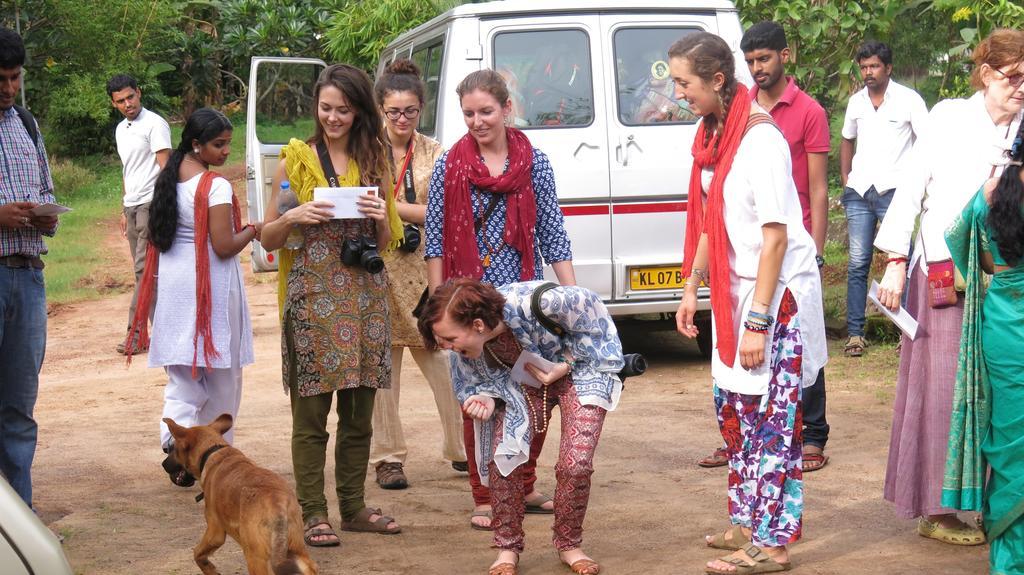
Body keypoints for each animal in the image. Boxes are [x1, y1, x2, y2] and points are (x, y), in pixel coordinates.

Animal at [164, 411, 315, 572]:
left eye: (173, 448)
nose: (163, 464)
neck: (214, 451)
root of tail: (277, 502)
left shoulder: (214, 531)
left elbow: (197, 553)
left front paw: (209, 569)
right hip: (299, 554)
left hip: (255, 559)